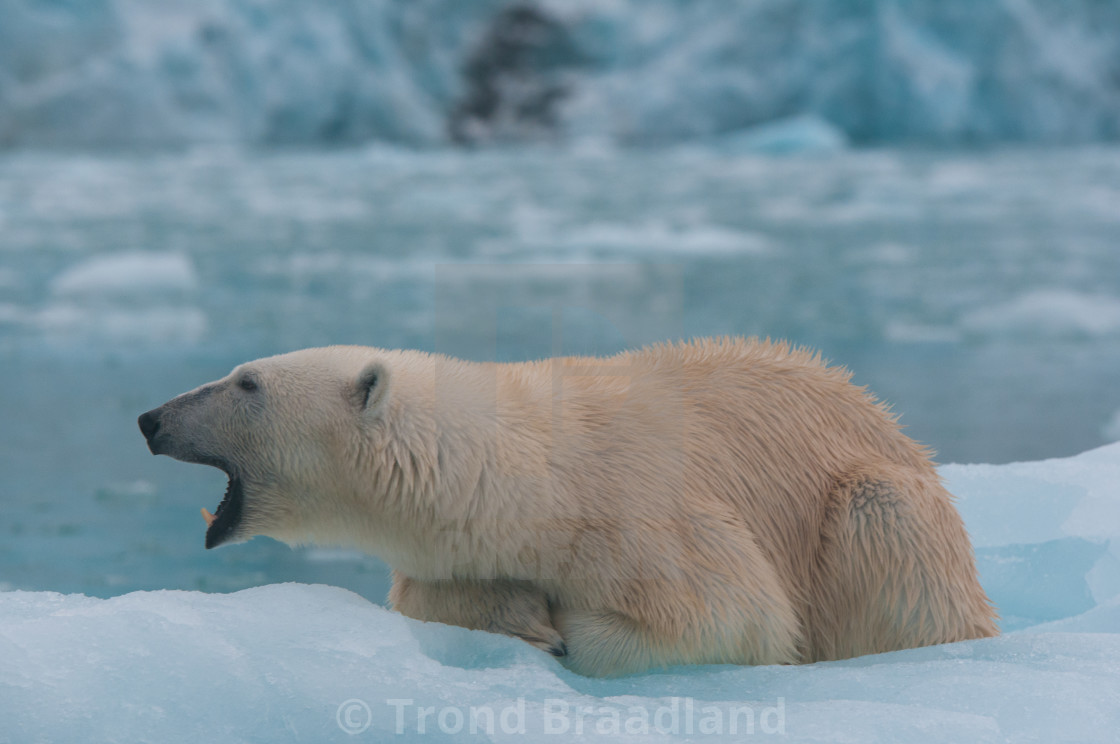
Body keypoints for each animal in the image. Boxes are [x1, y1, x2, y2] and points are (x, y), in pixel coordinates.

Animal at [140, 340, 999, 676]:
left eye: (246, 382)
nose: (151, 418)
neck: (533, 472)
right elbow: (426, 593)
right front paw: (515, 610)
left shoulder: (643, 514)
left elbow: (734, 613)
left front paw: (559, 629)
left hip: (879, 509)